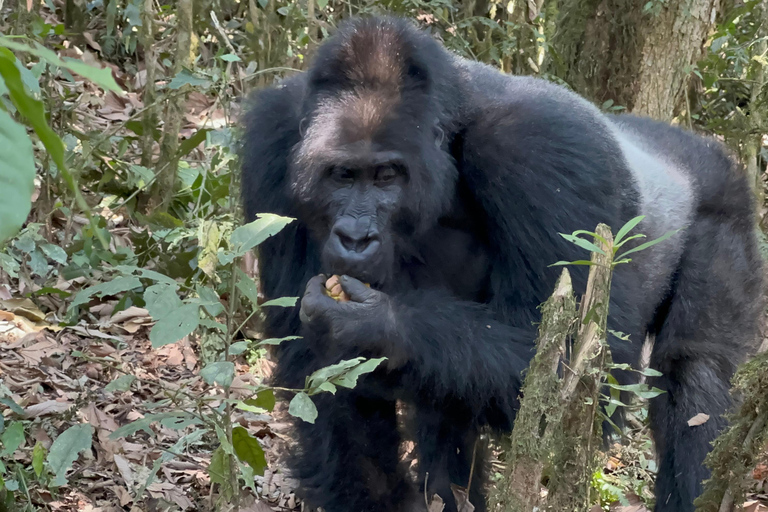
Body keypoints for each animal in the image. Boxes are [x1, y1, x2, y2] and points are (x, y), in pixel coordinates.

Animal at [238, 15, 760, 512]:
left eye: (386, 176)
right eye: (342, 176)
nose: (354, 238)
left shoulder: (541, 149)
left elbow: (578, 369)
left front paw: (369, 326)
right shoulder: (272, 143)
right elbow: (318, 372)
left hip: (727, 202)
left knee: (696, 372)